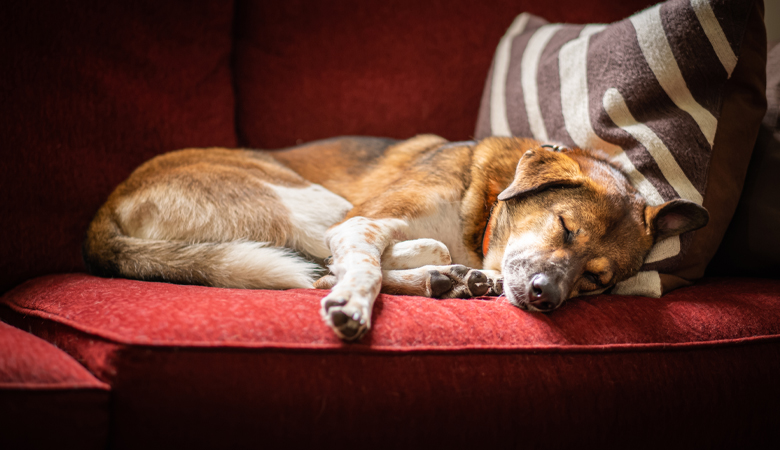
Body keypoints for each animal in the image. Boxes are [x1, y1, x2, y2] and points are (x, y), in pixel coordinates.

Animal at [84, 135, 708, 340]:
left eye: (597, 282)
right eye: (564, 226)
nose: (545, 298)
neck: (482, 212)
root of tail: (105, 214)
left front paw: (458, 274)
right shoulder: (360, 220)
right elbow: (362, 265)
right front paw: (357, 304)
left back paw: (448, 280)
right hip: (309, 201)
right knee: (320, 269)